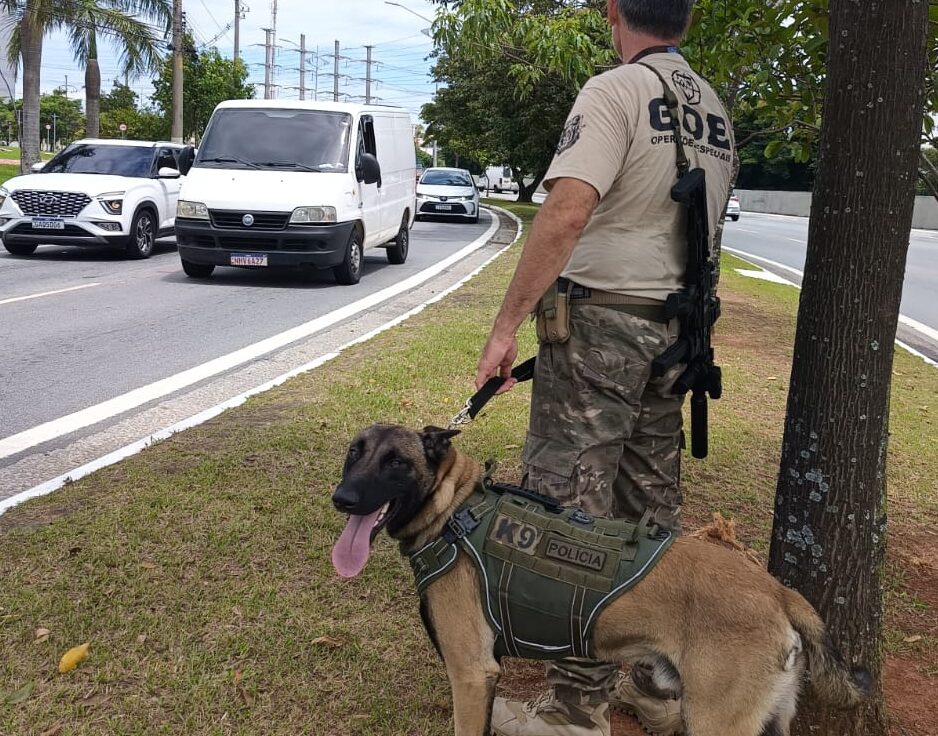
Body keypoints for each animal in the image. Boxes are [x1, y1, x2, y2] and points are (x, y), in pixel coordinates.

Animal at [330, 426, 872, 736]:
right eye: (353, 454)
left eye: (395, 462)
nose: (343, 498)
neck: (454, 510)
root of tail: (778, 590)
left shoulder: (470, 674)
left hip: (718, 723)